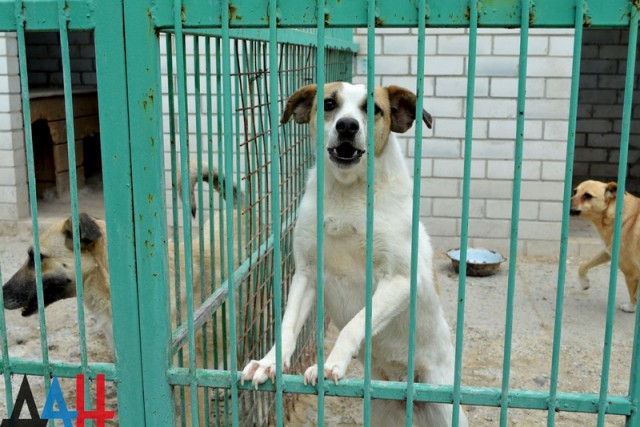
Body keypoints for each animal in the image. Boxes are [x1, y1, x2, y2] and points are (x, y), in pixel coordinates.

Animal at [241, 82, 470, 426]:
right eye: (328, 104)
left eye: (373, 108)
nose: (347, 126)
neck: (347, 193)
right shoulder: (306, 273)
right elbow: (288, 325)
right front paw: (269, 363)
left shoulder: (400, 279)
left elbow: (355, 323)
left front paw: (329, 364)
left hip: (445, 406)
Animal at [568, 179, 640, 312]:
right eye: (575, 192)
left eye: (587, 196)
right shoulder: (609, 251)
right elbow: (582, 266)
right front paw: (584, 282)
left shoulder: (631, 272)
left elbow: (634, 295)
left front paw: (630, 308)